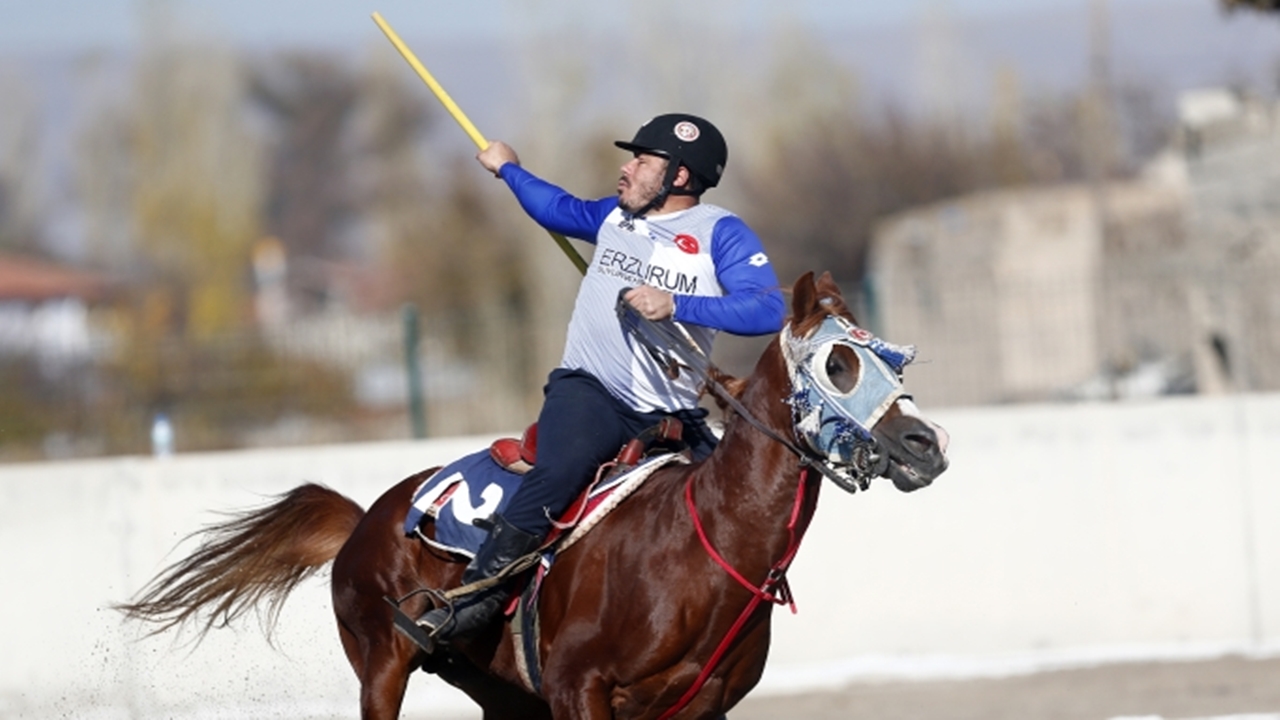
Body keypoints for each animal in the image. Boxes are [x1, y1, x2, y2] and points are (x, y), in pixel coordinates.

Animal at [122, 270, 952, 717]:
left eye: (893, 360)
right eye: (839, 362)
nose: (927, 443)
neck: (699, 552)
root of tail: (368, 519)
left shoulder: (699, 708)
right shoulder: (577, 690)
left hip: (496, 691)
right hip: (382, 665)